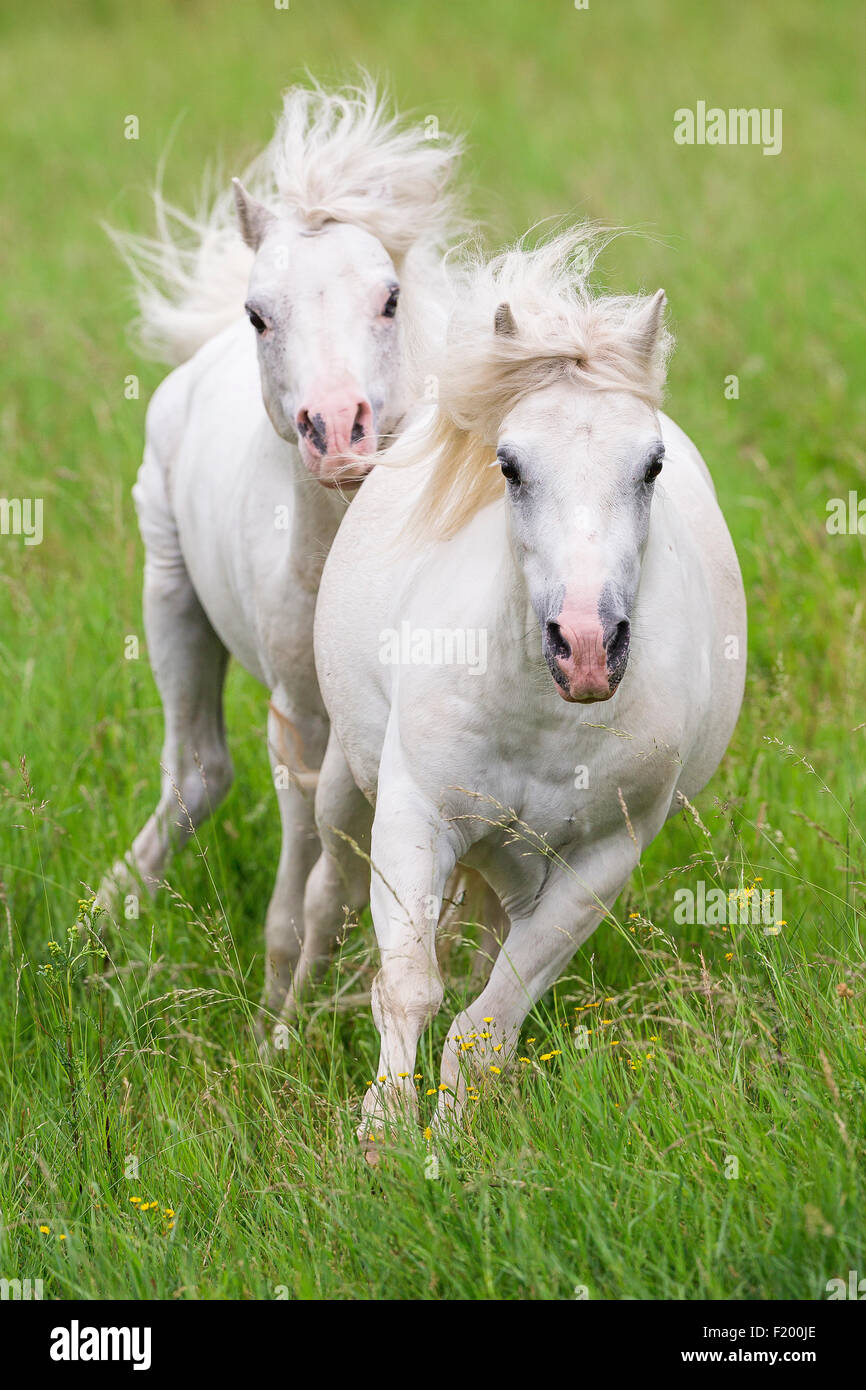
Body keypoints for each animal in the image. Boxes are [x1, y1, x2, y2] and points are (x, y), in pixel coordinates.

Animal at [100, 81, 467, 1017]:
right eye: (259, 314)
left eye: (390, 298)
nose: (337, 432)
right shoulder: (302, 718)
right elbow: (306, 883)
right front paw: (279, 1021)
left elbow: (346, 879)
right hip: (170, 594)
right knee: (197, 773)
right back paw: (100, 921)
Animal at [303, 230, 745, 1139]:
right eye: (508, 465)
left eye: (652, 466)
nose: (586, 647)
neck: (542, 724)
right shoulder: (415, 816)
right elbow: (409, 989)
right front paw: (383, 1139)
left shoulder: (601, 863)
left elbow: (487, 1025)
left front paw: (448, 1142)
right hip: (344, 798)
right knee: (320, 901)